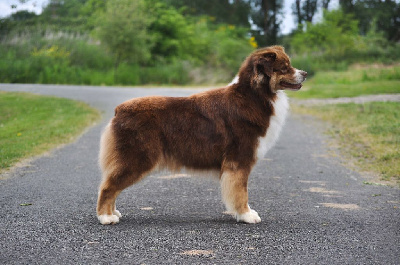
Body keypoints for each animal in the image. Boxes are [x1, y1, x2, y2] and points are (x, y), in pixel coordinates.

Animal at [96, 45, 306, 223]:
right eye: (285, 67)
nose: (305, 74)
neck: (254, 96)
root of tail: (119, 110)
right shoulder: (239, 160)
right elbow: (241, 191)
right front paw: (246, 215)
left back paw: (113, 212)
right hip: (138, 157)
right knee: (108, 186)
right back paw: (106, 217)